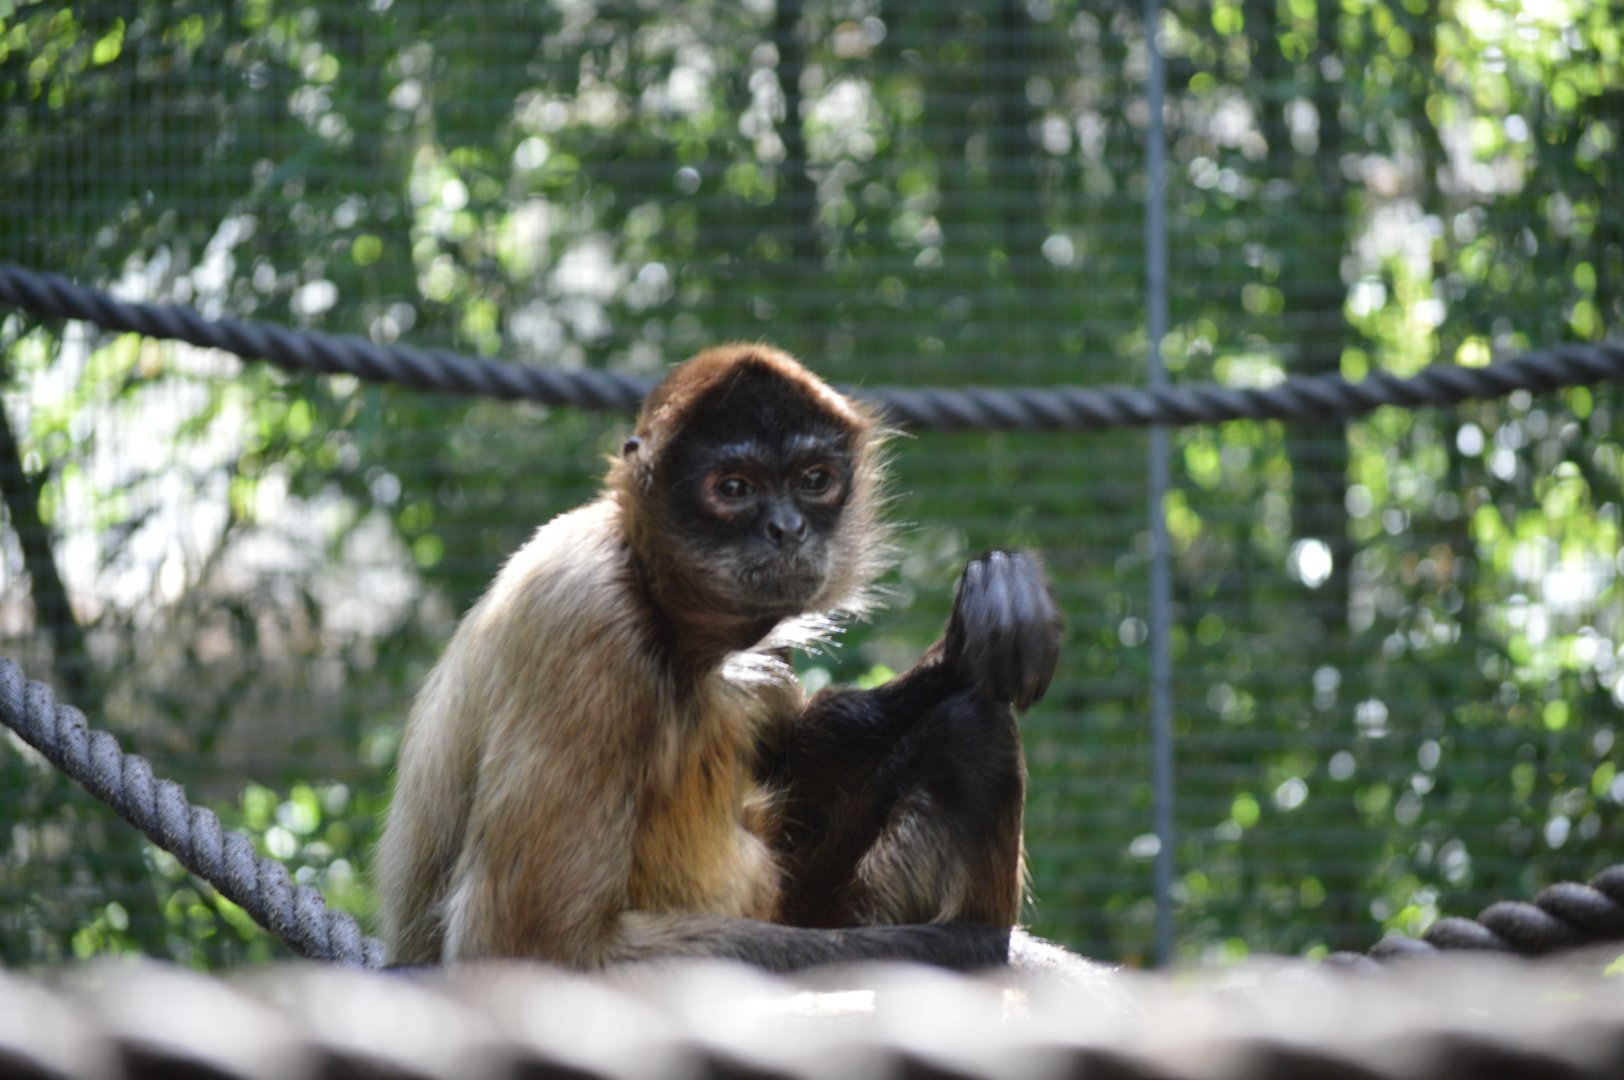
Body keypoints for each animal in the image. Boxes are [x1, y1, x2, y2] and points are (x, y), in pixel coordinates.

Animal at [373, 344, 1063, 972]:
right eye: (733, 489)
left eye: (814, 480)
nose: (788, 529)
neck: (661, 609)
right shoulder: (586, 617)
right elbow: (529, 949)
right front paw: (965, 950)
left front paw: (968, 640)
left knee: (970, 726)